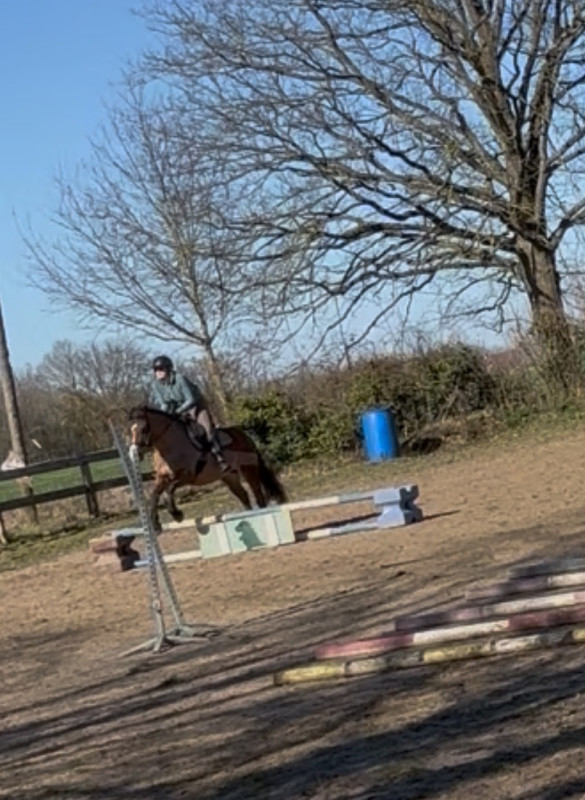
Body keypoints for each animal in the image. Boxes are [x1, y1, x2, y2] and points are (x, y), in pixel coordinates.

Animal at [128, 405, 288, 532]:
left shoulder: (187, 476)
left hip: (249, 469)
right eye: (131, 430)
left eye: (144, 428)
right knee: (243, 495)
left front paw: (177, 514)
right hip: (229, 477)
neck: (169, 447)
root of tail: (243, 434)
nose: (135, 452)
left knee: (258, 495)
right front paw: (155, 524)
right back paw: (248, 517)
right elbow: (154, 496)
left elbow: (169, 491)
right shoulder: (162, 478)